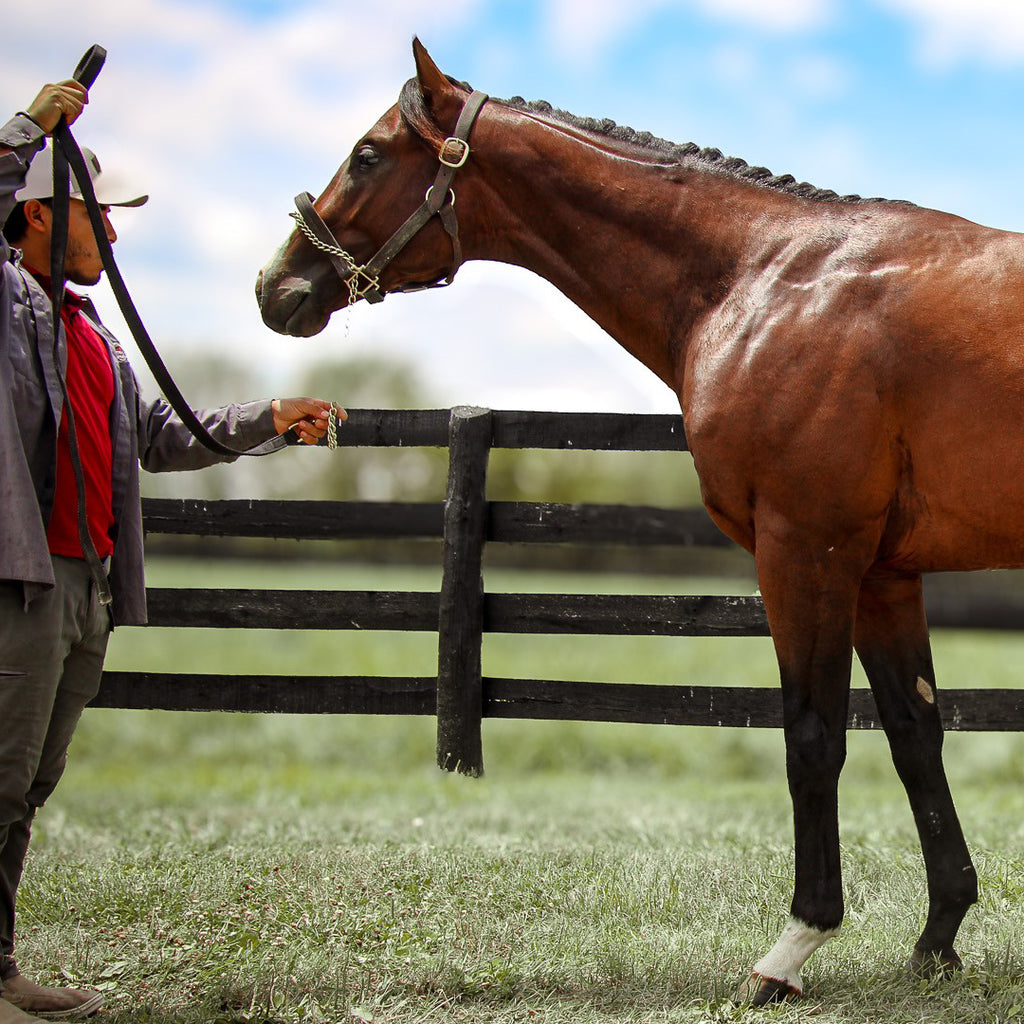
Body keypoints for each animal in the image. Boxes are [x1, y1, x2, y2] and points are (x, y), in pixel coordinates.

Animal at [258, 39, 1015, 1007]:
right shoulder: (883, 574)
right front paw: (939, 939)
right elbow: (916, 738)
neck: (770, 278)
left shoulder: (807, 551)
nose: (274, 286)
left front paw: (791, 949)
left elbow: (812, 738)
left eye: (366, 155)